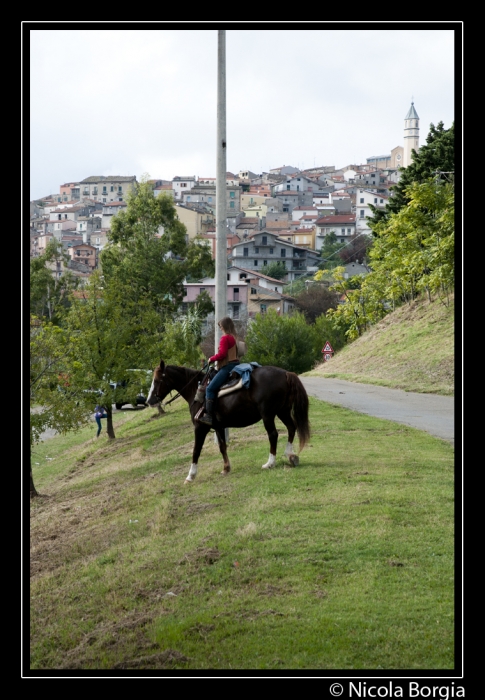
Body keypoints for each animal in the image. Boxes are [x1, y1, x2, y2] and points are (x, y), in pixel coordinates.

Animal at [146, 360, 310, 482]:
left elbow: (196, 451)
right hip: (282, 411)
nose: (149, 401)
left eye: (157, 380)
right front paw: (226, 468)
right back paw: (290, 455)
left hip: (268, 415)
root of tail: (285, 373)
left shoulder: (200, 428)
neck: (196, 390)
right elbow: (222, 447)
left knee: (273, 435)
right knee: (291, 428)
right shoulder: (218, 427)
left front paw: (190, 476)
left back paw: (270, 463)